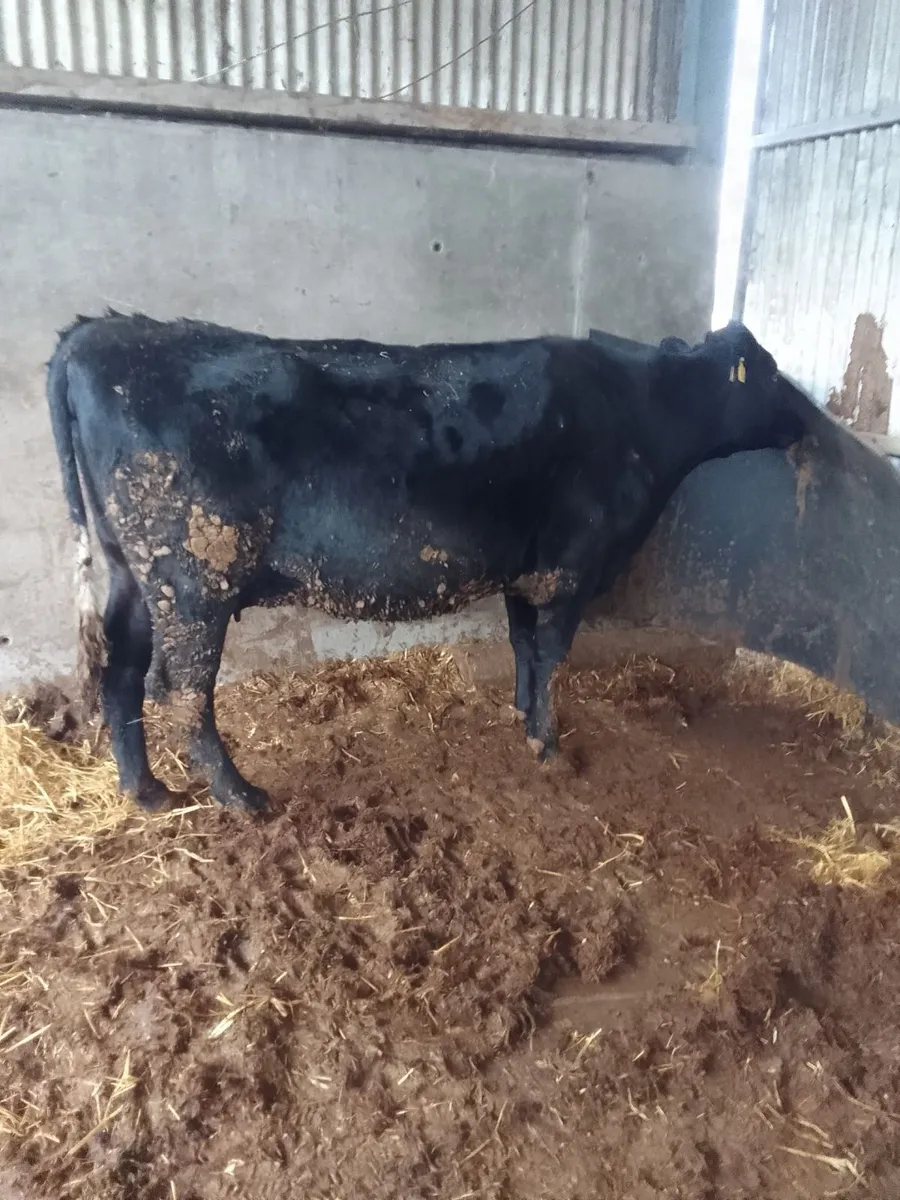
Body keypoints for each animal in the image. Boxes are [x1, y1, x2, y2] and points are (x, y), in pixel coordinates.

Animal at [46, 312, 811, 813]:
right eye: (772, 372)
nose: (809, 421)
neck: (642, 413)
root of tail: (100, 331)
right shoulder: (572, 566)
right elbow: (552, 655)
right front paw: (549, 746)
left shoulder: (526, 568)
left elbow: (524, 648)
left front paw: (521, 718)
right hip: (194, 579)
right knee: (182, 692)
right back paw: (243, 797)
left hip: (133, 573)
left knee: (120, 672)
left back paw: (147, 792)